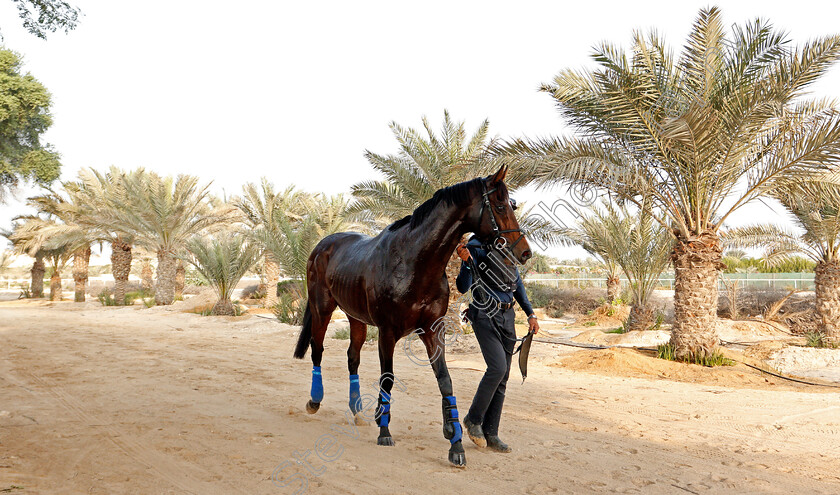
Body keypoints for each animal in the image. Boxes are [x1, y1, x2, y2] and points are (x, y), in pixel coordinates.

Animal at [294, 166, 532, 464]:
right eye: (500, 205)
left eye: (512, 204)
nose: (524, 252)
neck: (413, 262)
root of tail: (322, 246)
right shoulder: (387, 332)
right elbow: (388, 378)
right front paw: (384, 430)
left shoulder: (432, 330)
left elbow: (445, 381)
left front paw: (455, 442)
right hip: (322, 309)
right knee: (318, 349)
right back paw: (314, 401)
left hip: (356, 318)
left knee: (352, 358)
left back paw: (357, 411)